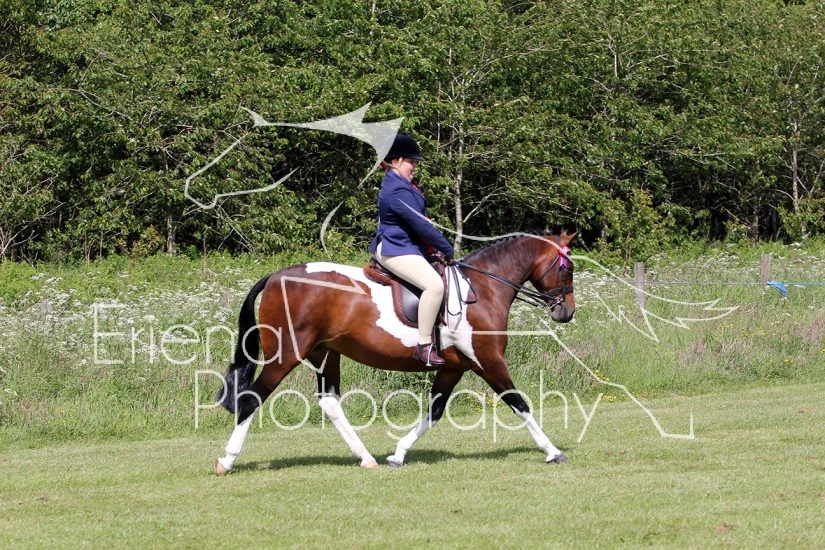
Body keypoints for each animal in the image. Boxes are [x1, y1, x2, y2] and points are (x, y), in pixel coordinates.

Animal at [214, 230, 577, 474]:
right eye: (567, 268)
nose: (566, 312)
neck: (482, 289)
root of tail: (276, 276)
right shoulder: (487, 361)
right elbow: (519, 404)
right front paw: (552, 451)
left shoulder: (453, 367)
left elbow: (435, 411)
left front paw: (398, 454)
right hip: (285, 356)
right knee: (252, 398)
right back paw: (227, 460)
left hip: (325, 354)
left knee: (330, 403)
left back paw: (366, 458)